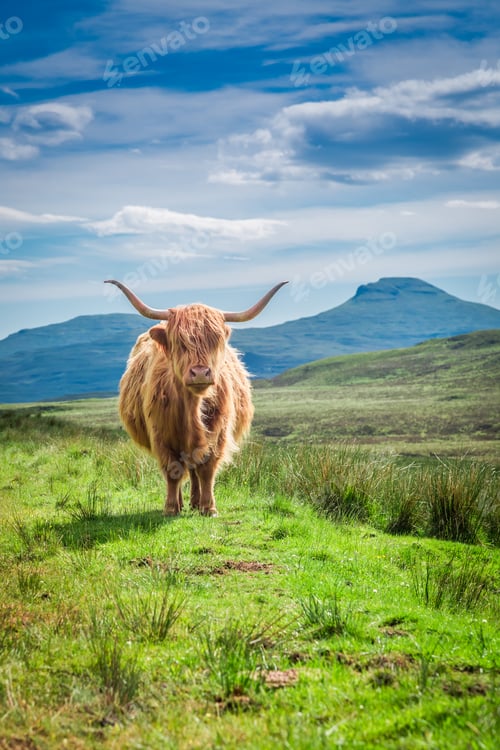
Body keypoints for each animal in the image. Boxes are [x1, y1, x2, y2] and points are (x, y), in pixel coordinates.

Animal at [105, 279, 287, 516]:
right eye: (180, 342)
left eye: (215, 341)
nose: (200, 373)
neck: (192, 409)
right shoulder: (161, 435)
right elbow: (172, 471)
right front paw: (171, 508)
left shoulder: (218, 434)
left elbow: (207, 470)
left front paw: (209, 507)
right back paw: (183, 503)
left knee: (193, 470)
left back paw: (195, 502)